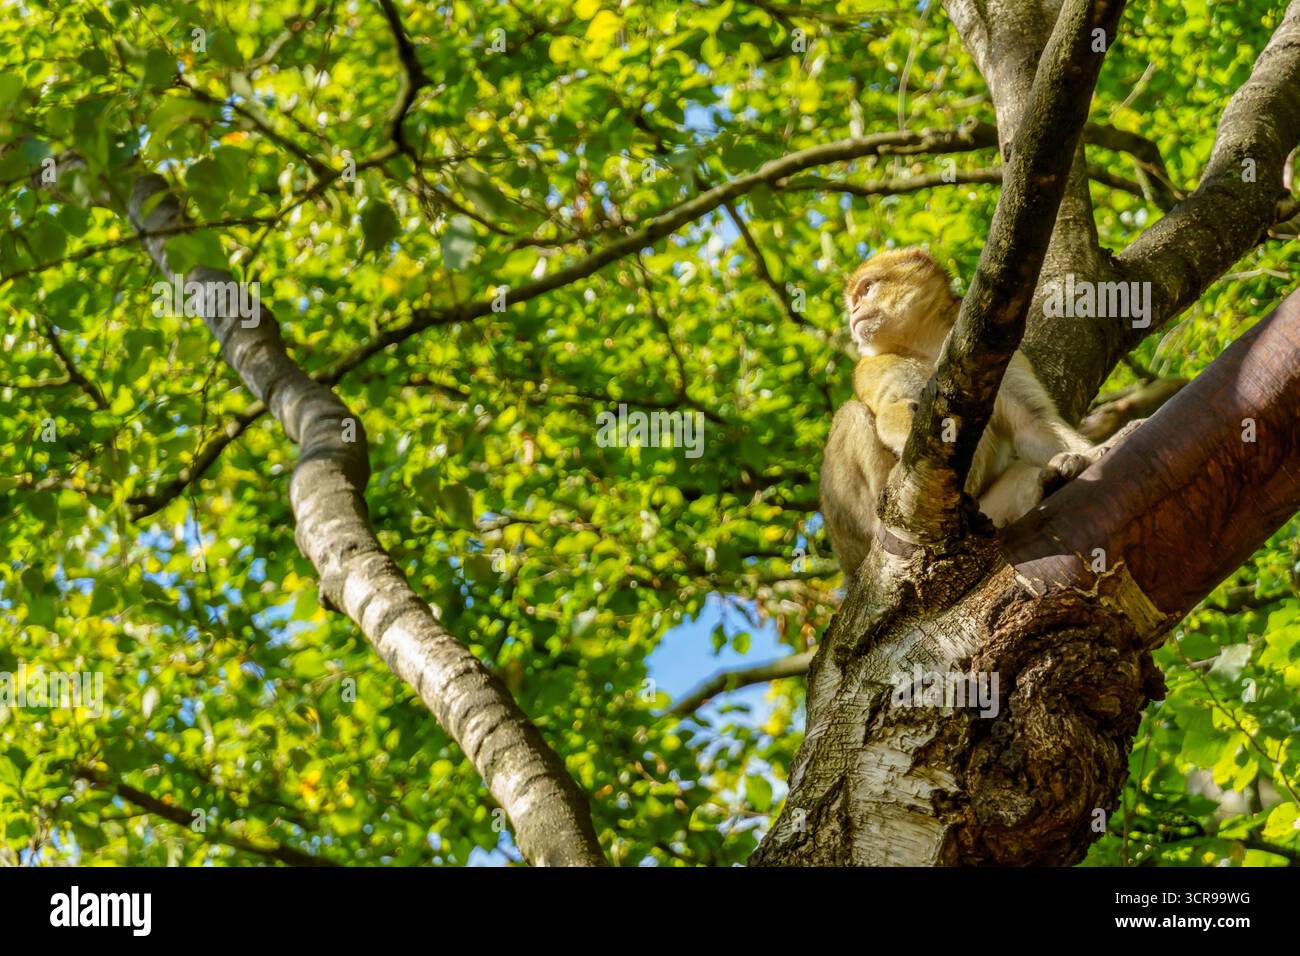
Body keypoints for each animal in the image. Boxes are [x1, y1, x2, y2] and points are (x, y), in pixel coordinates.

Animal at [820, 247, 1098, 574]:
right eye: (854, 299)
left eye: (866, 288)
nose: (854, 312)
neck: (927, 343)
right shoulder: (874, 366)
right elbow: (891, 412)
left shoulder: (1005, 356)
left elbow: (1031, 422)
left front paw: (1091, 455)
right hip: (853, 546)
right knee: (851, 415)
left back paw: (1050, 480)